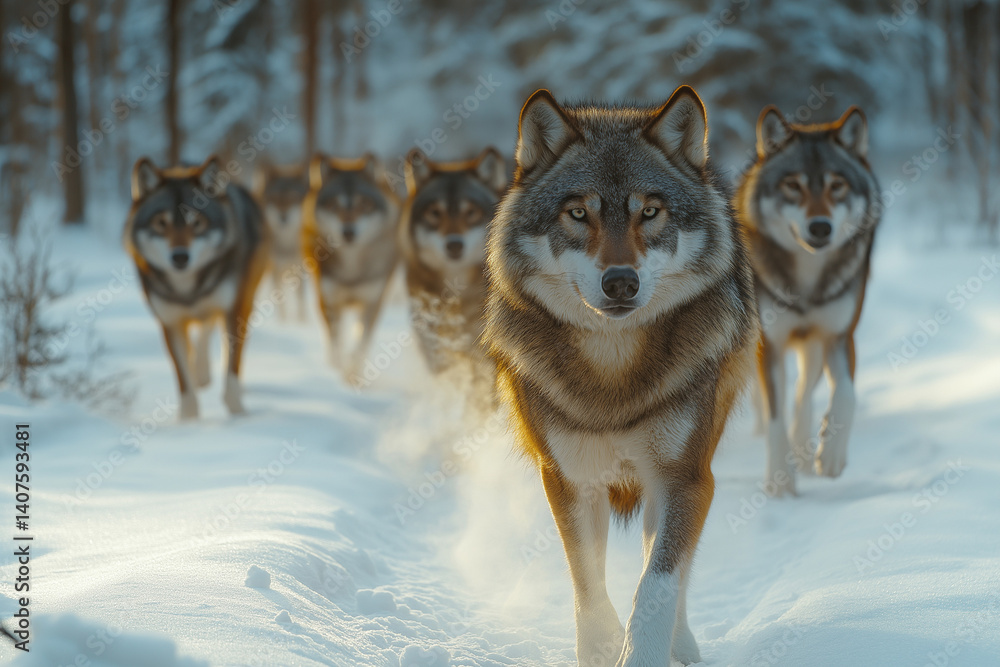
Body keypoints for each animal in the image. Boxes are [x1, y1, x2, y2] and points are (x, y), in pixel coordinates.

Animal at [124, 155, 269, 420]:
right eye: (161, 223)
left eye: (197, 222)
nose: (180, 257)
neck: (188, 291)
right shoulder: (170, 322)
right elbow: (183, 380)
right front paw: (188, 422)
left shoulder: (234, 311)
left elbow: (232, 370)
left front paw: (238, 415)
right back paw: (200, 374)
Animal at [253, 164, 310, 321]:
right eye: (275, 199)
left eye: (292, 198)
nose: (283, 217)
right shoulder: (275, 269)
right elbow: (279, 300)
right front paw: (283, 322)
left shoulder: (299, 269)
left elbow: (301, 300)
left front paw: (302, 322)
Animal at [302, 153, 399, 383]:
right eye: (334, 205)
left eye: (363, 204)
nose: (348, 232)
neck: (352, 268)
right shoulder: (328, 300)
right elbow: (336, 344)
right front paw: (337, 374)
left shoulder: (373, 302)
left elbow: (359, 346)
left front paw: (353, 377)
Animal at [484, 87, 758, 666]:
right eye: (578, 213)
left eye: (649, 212)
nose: (620, 282)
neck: (612, 372)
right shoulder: (569, 479)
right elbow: (588, 585)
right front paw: (603, 647)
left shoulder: (685, 478)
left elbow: (657, 584)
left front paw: (645, 652)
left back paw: (684, 646)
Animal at [737, 105, 879, 496]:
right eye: (793, 185)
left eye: (837, 185)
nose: (820, 227)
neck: (807, 281)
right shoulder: (768, 344)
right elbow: (774, 414)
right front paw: (780, 481)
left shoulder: (839, 336)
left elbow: (846, 395)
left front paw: (830, 455)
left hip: (812, 345)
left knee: (803, 394)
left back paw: (804, 448)